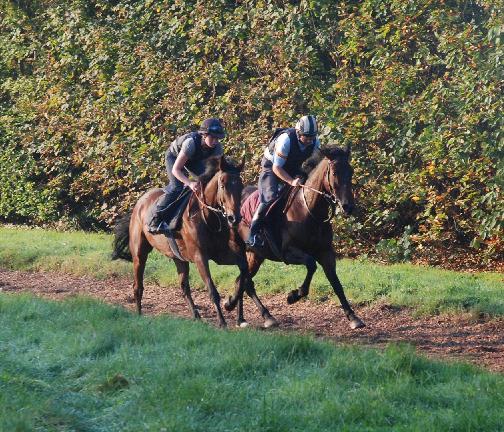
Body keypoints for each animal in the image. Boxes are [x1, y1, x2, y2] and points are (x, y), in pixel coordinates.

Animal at [112, 156, 250, 328]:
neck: (208, 217)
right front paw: (222, 322)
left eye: (241, 185)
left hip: (179, 258)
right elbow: (212, 289)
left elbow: (243, 271)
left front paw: (231, 303)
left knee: (184, 286)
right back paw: (138, 315)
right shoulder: (199, 256)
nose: (234, 218)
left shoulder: (222, 254)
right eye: (223, 185)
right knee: (138, 285)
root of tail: (139, 202)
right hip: (139, 252)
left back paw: (197, 316)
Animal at [234, 147, 364, 330]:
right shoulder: (288, 252)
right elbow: (311, 264)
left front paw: (353, 317)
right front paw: (294, 295)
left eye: (351, 171)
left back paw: (246, 316)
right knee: (244, 282)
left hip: (255, 254)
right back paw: (246, 312)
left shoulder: (325, 252)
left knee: (242, 281)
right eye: (335, 173)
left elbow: (335, 282)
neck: (309, 211)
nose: (348, 206)